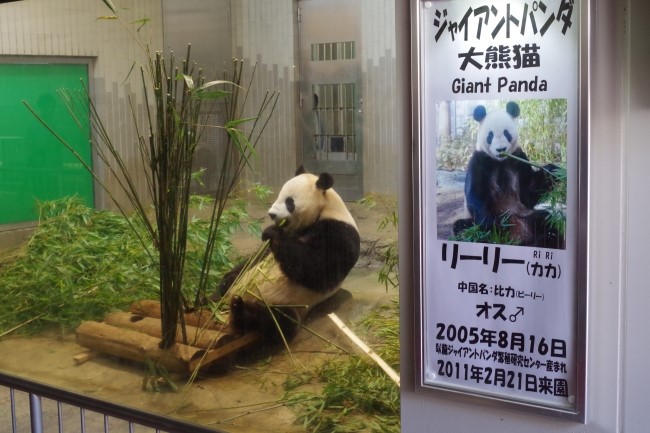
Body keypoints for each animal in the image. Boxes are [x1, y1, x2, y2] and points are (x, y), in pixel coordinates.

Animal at [218, 167, 360, 342]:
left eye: (289, 201)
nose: (271, 214)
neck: (324, 210)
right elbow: (258, 256)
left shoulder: (341, 233)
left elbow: (318, 269)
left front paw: (272, 233)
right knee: (229, 283)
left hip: (288, 304)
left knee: (277, 321)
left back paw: (241, 310)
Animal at [452, 101, 563, 249]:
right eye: (490, 135)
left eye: (506, 133)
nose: (501, 149)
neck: (501, 162)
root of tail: (516, 237)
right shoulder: (480, 161)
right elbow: (476, 195)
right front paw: (492, 225)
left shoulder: (518, 159)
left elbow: (529, 192)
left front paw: (554, 171)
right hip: (474, 225)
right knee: (463, 227)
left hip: (526, 214)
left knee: (546, 220)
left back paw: (548, 238)